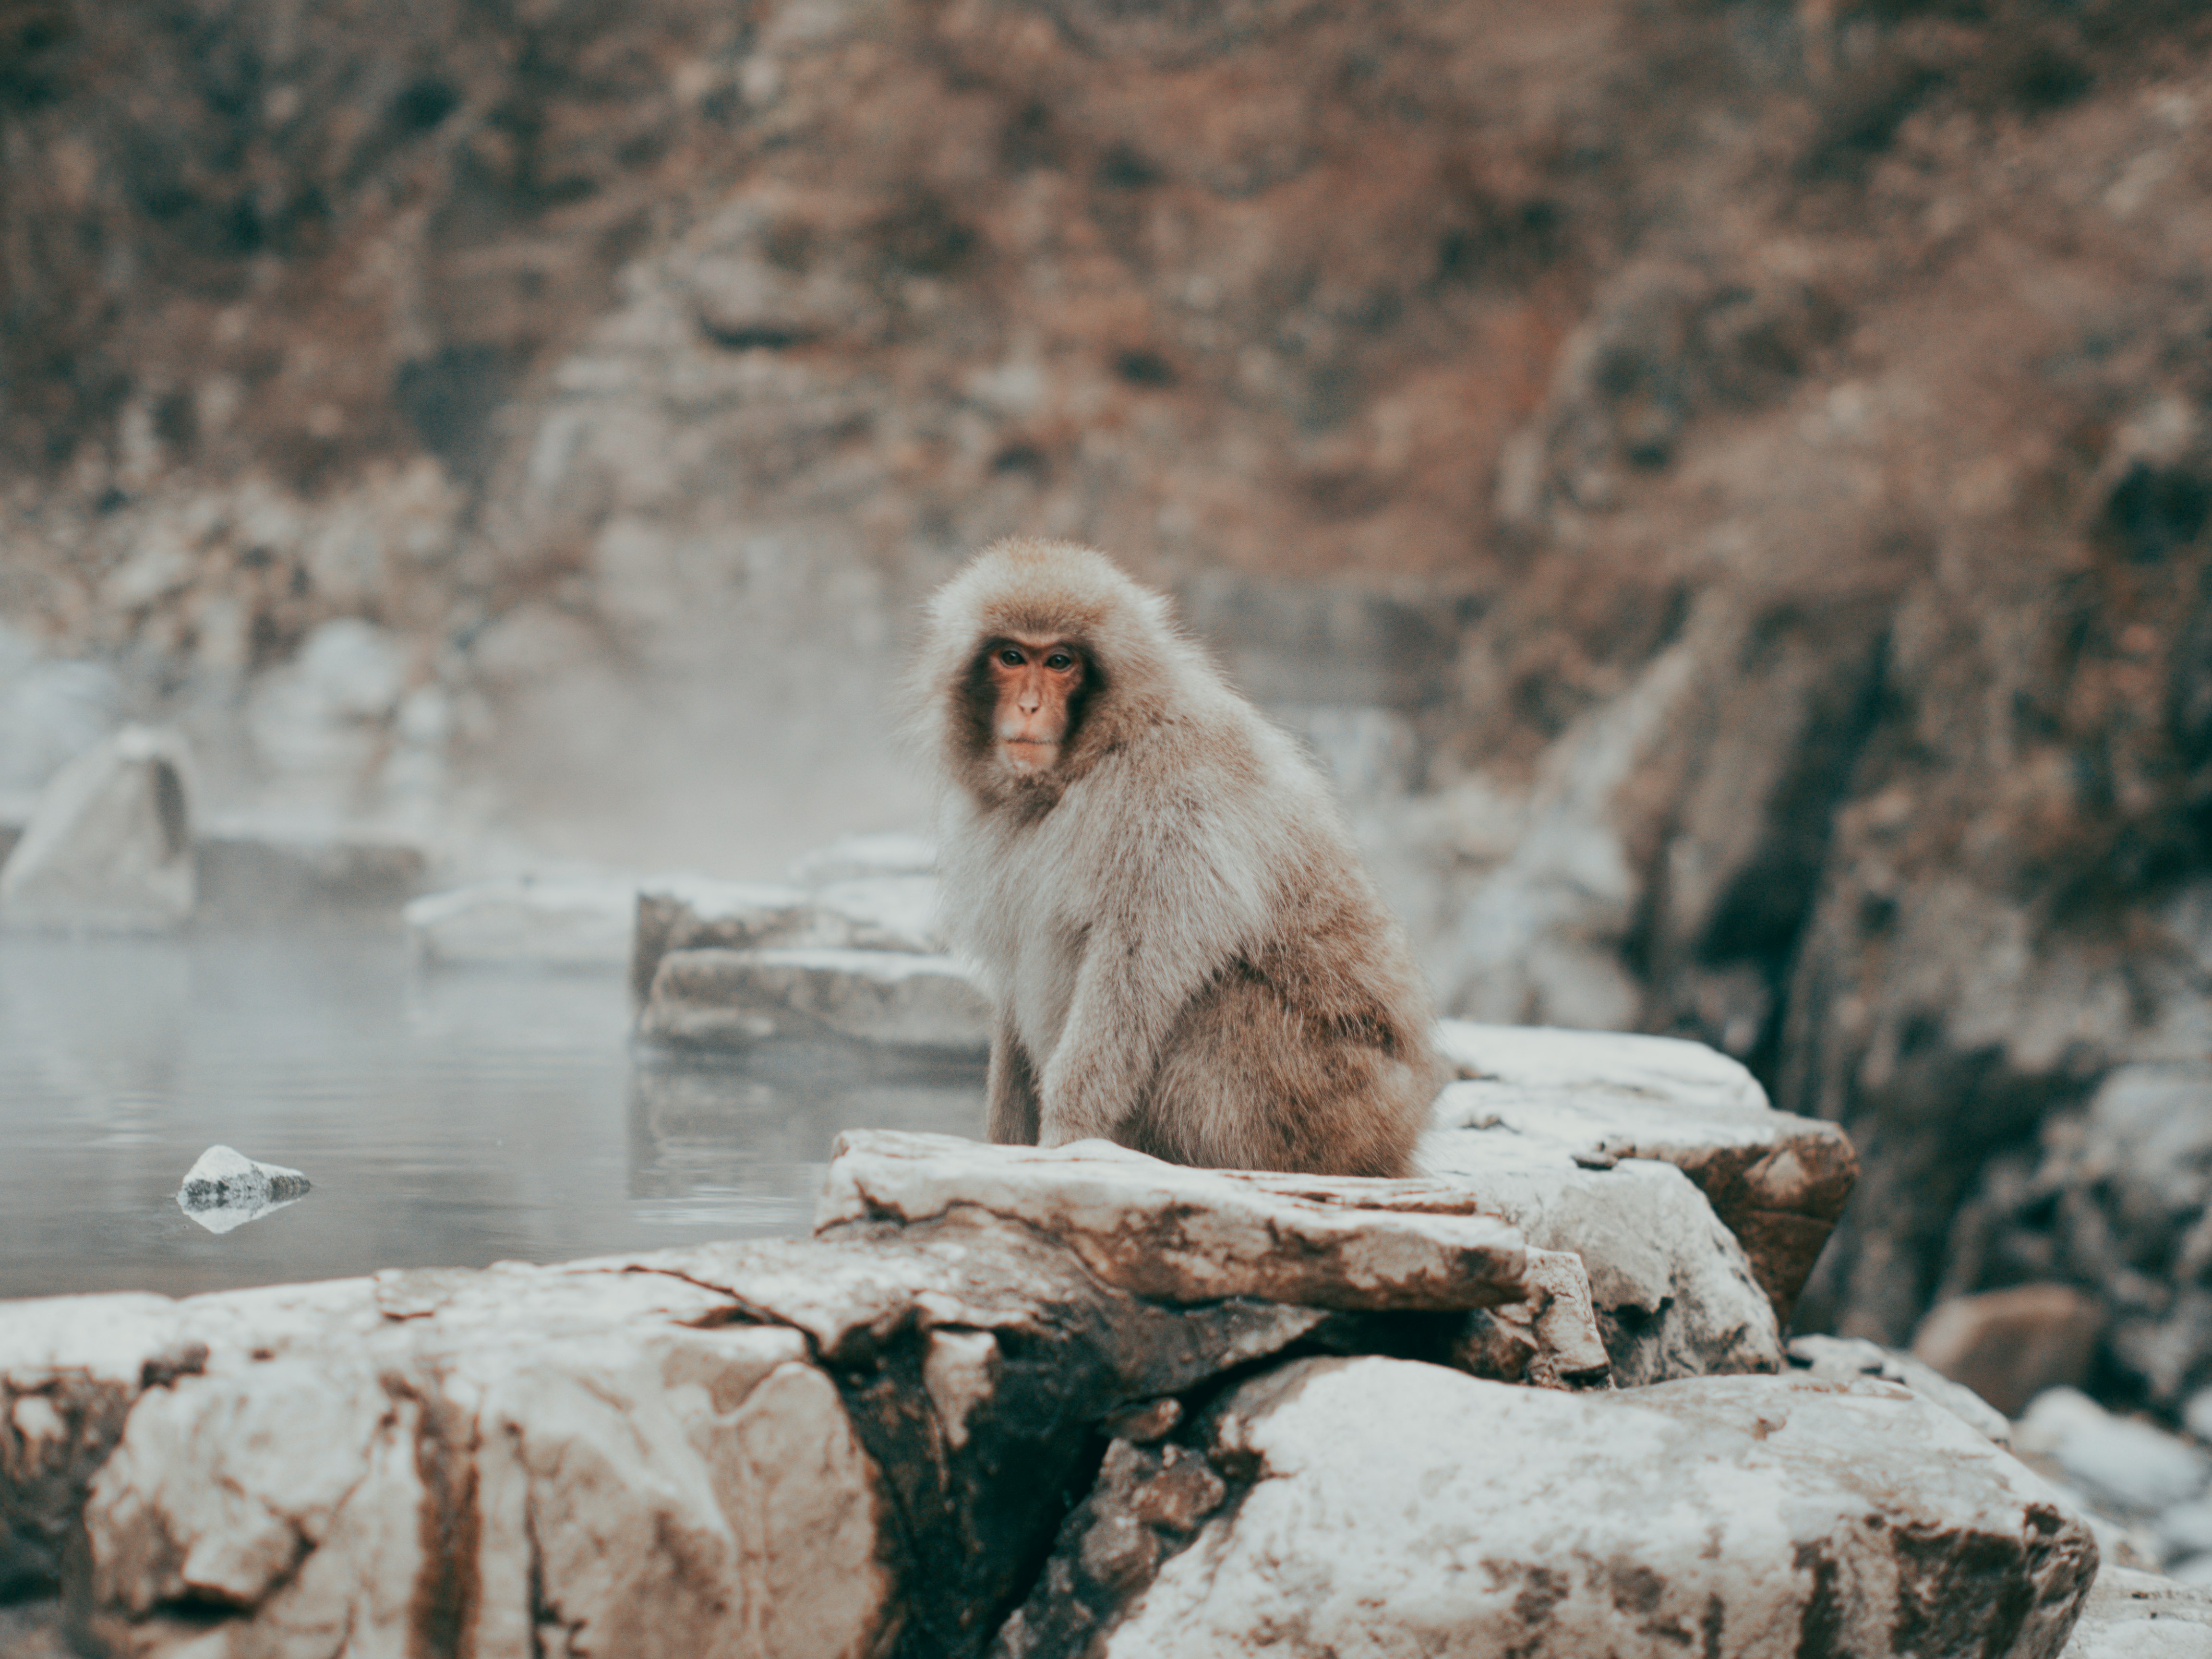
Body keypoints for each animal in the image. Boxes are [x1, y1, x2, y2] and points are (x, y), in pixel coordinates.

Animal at [911, 535, 1442, 1185]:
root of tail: (1402, 1139)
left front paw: (1067, 1133)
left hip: (1332, 1108)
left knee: (1215, 999)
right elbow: (1018, 973)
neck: (1093, 755)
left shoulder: (1172, 795)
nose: (1031, 706)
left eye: (1060, 662)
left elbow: (1133, 966)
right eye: (1012, 657)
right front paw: (1003, 1141)